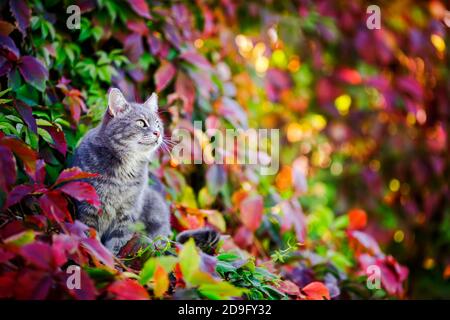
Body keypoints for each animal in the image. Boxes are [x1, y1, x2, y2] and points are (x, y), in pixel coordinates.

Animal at [72, 89, 220, 254]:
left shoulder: (128, 212)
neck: (124, 171)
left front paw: (113, 257)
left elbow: (117, 241)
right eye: (141, 123)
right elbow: (91, 236)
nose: (157, 133)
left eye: (158, 124)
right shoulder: (88, 206)